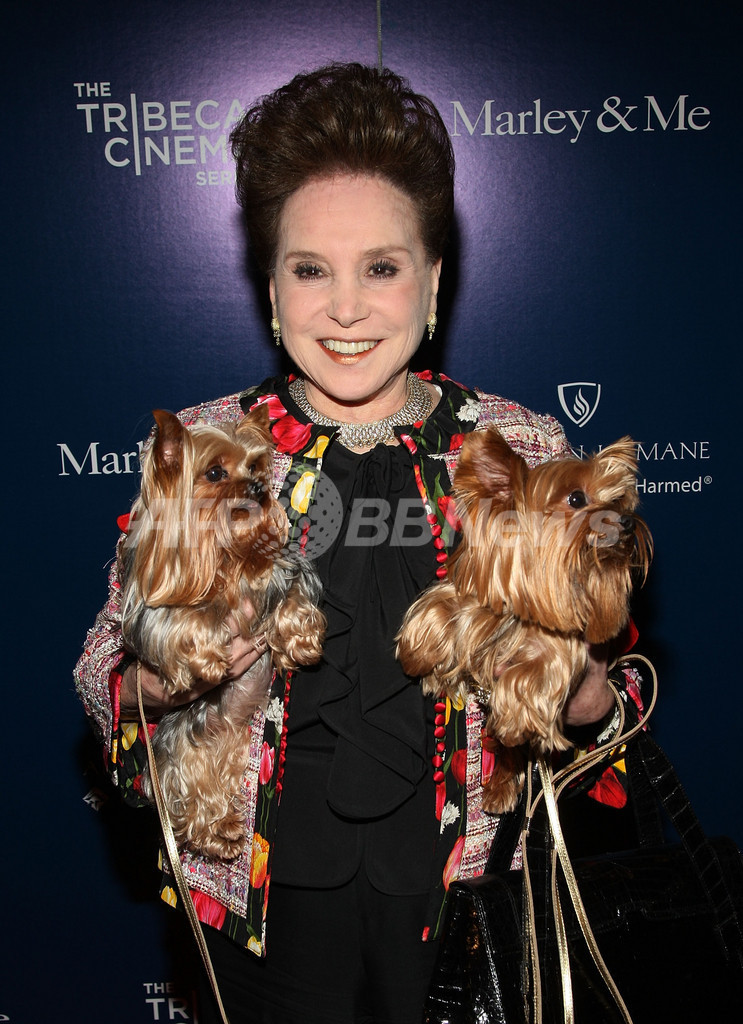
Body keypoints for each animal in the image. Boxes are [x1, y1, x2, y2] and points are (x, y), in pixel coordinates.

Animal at [119, 405, 325, 859]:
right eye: (215, 472)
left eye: (256, 465)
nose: (260, 487)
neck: (229, 555)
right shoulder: (154, 611)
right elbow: (191, 619)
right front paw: (210, 659)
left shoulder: (285, 570)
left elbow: (294, 600)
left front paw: (301, 643)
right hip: (180, 752)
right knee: (193, 798)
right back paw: (218, 829)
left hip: (230, 745)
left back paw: (227, 831)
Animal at [396, 428, 651, 813]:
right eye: (576, 498)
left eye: (620, 500)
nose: (627, 521)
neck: (519, 617)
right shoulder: (475, 595)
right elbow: (438, 607)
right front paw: (420, 657)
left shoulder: (563, 648)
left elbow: (531, 673)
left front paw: (516, 717)